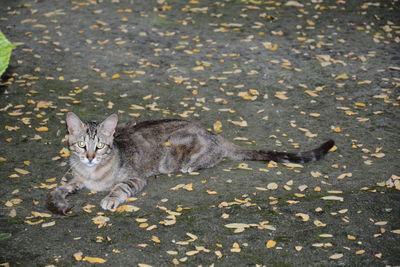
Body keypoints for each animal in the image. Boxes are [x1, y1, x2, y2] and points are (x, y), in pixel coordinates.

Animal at [46, 112, 334, 216]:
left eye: (100, 146)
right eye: (81, 145)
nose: (89, 157)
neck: (92, 174)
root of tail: (211, 132)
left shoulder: (137, 177)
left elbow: (120, 187)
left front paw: (110, 198)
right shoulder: (76, 178)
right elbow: (54, 191)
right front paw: (60, 202)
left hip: (176, 151)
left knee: (215, 155)